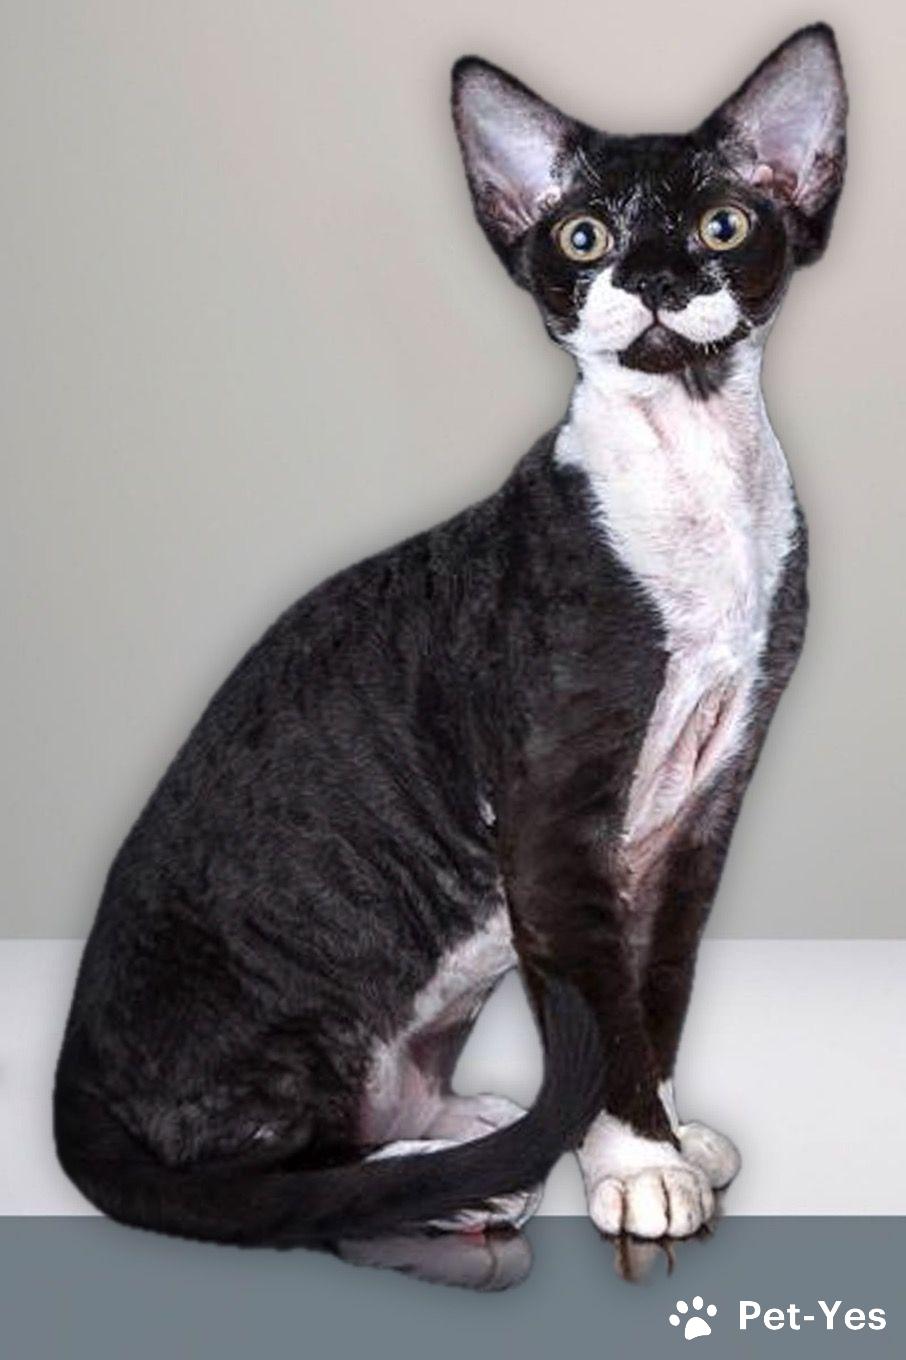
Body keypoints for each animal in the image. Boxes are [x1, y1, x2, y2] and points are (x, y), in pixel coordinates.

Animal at [54, 23, 847, 1277]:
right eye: (584, 236)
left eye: (723, 224)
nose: (656, 277)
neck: (699, 488)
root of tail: (69, 1085)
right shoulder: (554, 818)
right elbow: (601, 1001)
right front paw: (636, 1163)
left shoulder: (703, 811)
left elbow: (657, 989)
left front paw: (660, 1139)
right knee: (273, 1184)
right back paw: (455, 1182)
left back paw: (478, 1129)